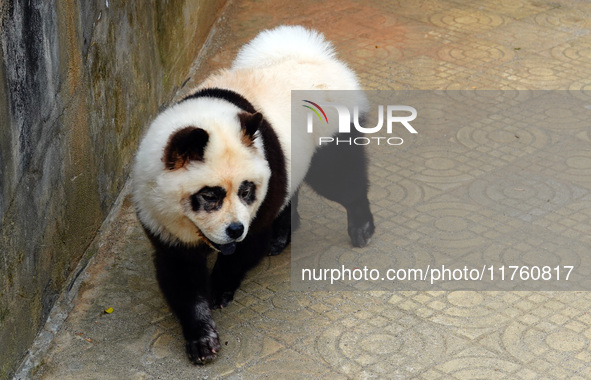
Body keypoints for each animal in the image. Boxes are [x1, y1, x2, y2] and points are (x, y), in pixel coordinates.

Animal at [133, 25, 374, 364]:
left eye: (246, 190)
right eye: (210, 195)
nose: (235, 229)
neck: (203, 122)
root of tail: (316, 56)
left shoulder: (263, 187)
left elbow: (248, 246)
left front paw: (219, 287)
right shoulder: (156, 209)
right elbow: (179, 272)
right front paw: (201, 337)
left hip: (332, 128)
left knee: (339, 177)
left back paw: (361, 226)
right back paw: (283, 235)